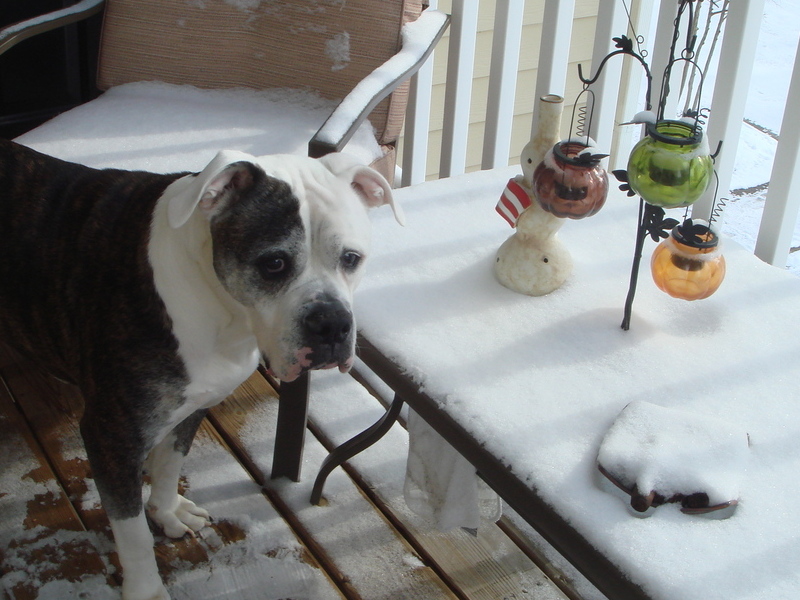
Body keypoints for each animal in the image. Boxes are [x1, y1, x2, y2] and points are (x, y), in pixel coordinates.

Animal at [0, 138, 400, 596]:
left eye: (351, 258)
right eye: (274, 263)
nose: (332, 322)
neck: (223, 311)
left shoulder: (195, 404)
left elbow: (170, 462)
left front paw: (167, 511)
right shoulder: (112, 435)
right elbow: (132, 532)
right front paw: (146, 589)